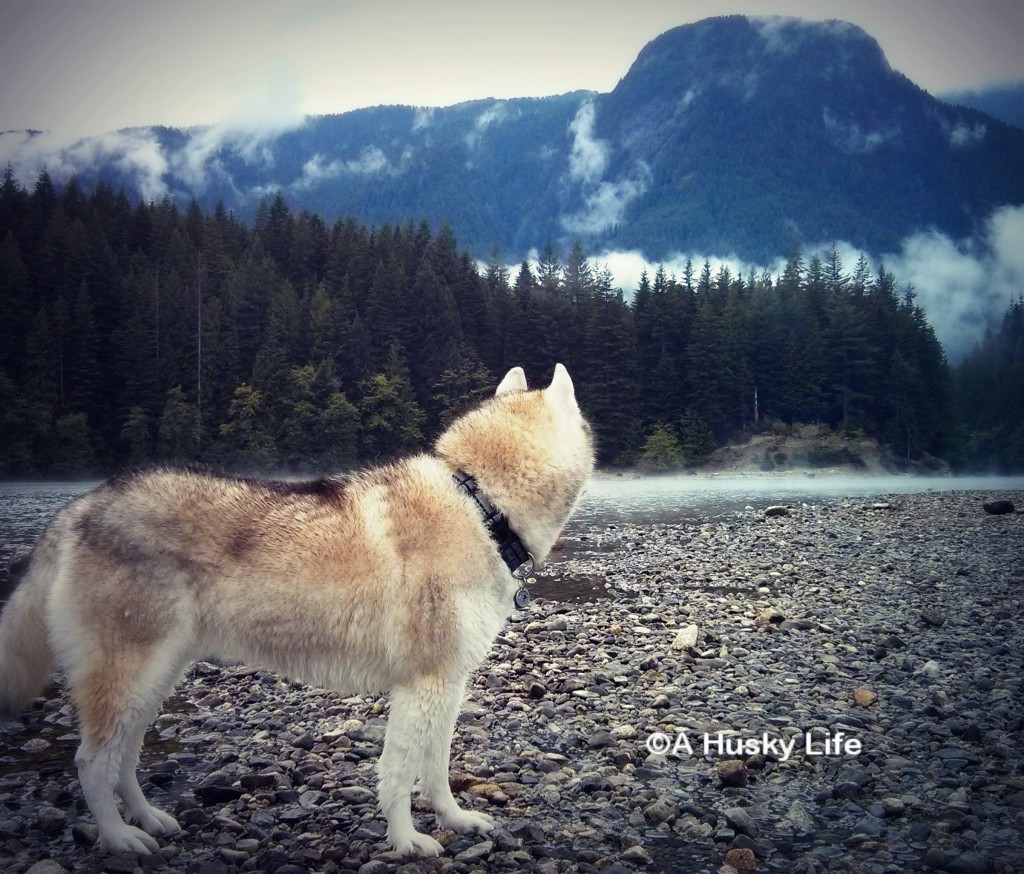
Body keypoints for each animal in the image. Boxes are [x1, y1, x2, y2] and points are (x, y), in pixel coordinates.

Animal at [0, 366, 593, 859]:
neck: (481, 504)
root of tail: (81, 506)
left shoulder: (447, 686)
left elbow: (437, 771)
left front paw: (455, 821)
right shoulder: (422, 685)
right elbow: (398, 775)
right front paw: (406, 841)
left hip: (153, 683)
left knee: (125, 760)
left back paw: (148, 820)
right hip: (127, 679)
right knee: (91, 764)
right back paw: (119, 837)